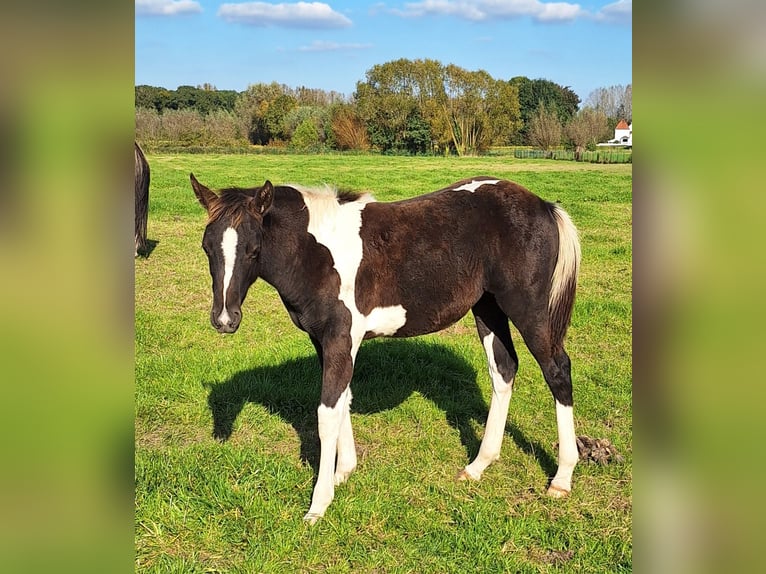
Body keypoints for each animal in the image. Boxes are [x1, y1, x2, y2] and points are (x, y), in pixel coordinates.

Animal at [190, 176, 584, 528]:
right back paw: (478, 465)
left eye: (253, 250)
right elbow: (343, 400)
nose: (225, 319)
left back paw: (562, 478)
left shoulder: (340, 337)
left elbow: (326, 414)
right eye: (207, 248)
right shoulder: (327, 341)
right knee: (503, 369)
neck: (316, 252)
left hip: (528, 309)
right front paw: (344, 472)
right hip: (488, 307)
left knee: (557, 370)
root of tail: (543, 206)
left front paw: (319, 504)